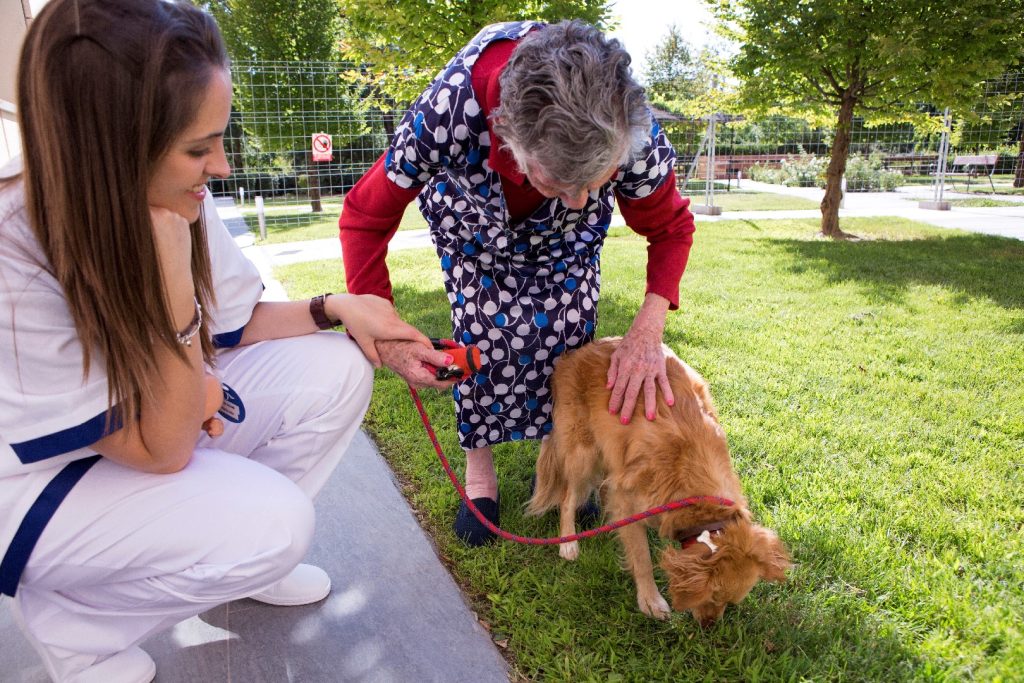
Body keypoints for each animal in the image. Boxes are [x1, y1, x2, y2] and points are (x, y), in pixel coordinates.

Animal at [528, 337, 790, 626]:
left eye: (729, 602)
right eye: (712, 597)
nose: (709, 627)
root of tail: (572, 354)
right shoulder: (629, 501)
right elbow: (641, 557)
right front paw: (650, 600)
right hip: (582, 453)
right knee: (568, 498)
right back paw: (568, 542)